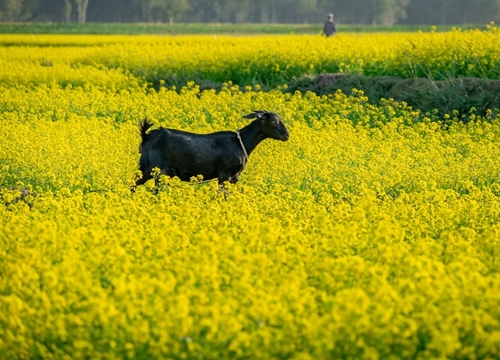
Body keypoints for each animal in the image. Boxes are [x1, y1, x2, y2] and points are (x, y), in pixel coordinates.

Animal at [135, 109, 292, 188]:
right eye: (273, 121)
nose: (287, 135)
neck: (241, 142)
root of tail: (147, 136)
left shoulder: (234, 177)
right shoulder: (225, 174)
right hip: (147, 169)